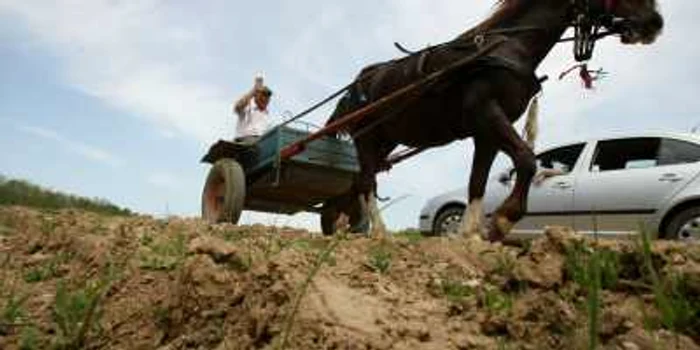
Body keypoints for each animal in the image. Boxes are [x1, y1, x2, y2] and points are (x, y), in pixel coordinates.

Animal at [326, 0, 664, 241]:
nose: (655, 23)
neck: (508, 47)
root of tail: (359, 83)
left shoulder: (485, 132)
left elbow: (477, 181)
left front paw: (469, 233)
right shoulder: (487, 113)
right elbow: (526, 159)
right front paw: (502, 220)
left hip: (384, 139)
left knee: (363, 179)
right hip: (366, 138)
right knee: (367, 182)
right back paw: (377, 232)